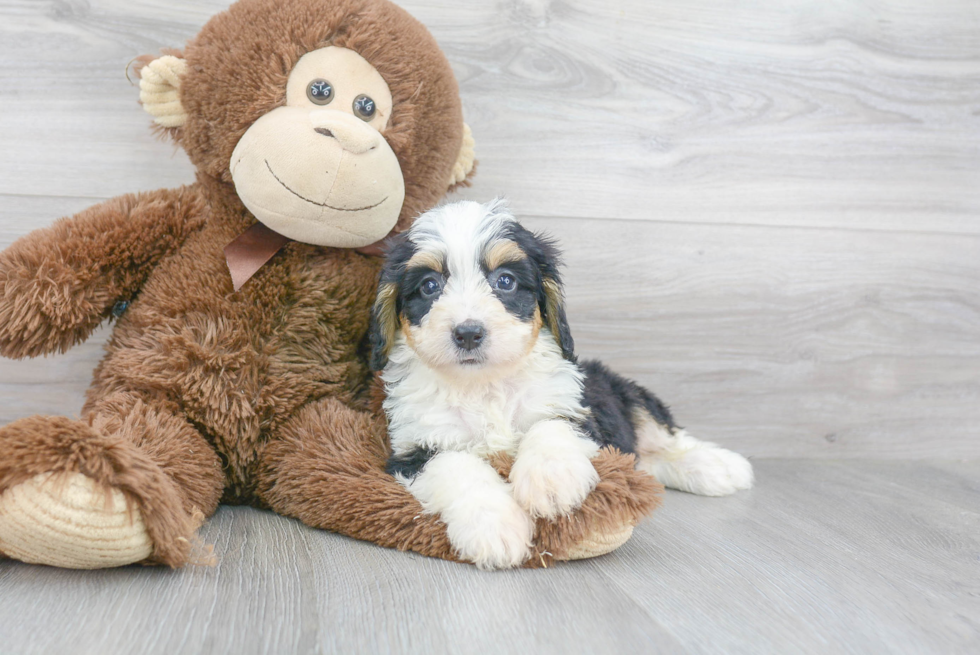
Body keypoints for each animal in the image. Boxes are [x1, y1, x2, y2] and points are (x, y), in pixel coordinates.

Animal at [368, 200, 752, 568]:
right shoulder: (415, 447)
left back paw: (722, 467)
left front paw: (550, 483)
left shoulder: (577, 410)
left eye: (505, 281)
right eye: (429, 286)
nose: (468, 333)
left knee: (670, 438)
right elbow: (458, 467)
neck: (485, 385)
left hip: (629, 394)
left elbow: (550, 427)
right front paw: (495, 527)